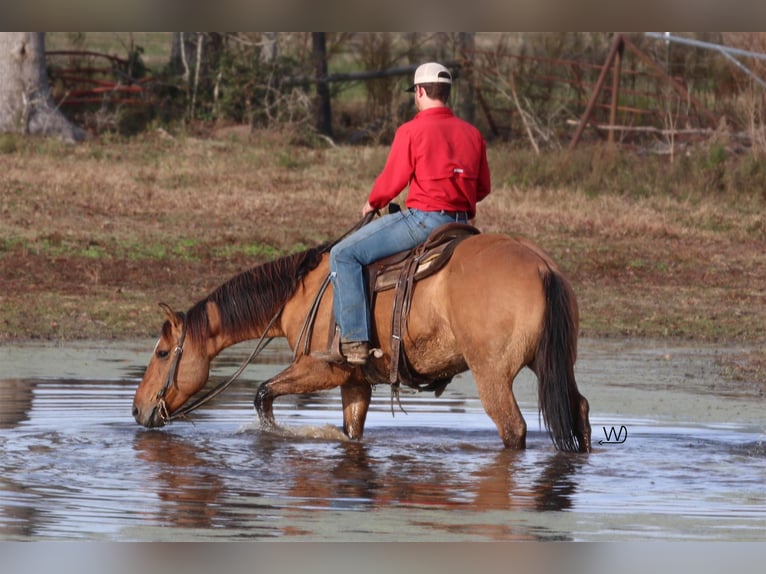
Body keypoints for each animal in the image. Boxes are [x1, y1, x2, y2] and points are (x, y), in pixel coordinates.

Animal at [132, 234, 592, 454]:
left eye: (161, 353)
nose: (137, 410)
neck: (302, 292)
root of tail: (542, 267)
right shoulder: (355, 382)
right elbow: (352, 431)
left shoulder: (321, 368)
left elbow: (263, 395)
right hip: (556, 365)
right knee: (578, 413)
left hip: (491, 375)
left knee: (513, 429)